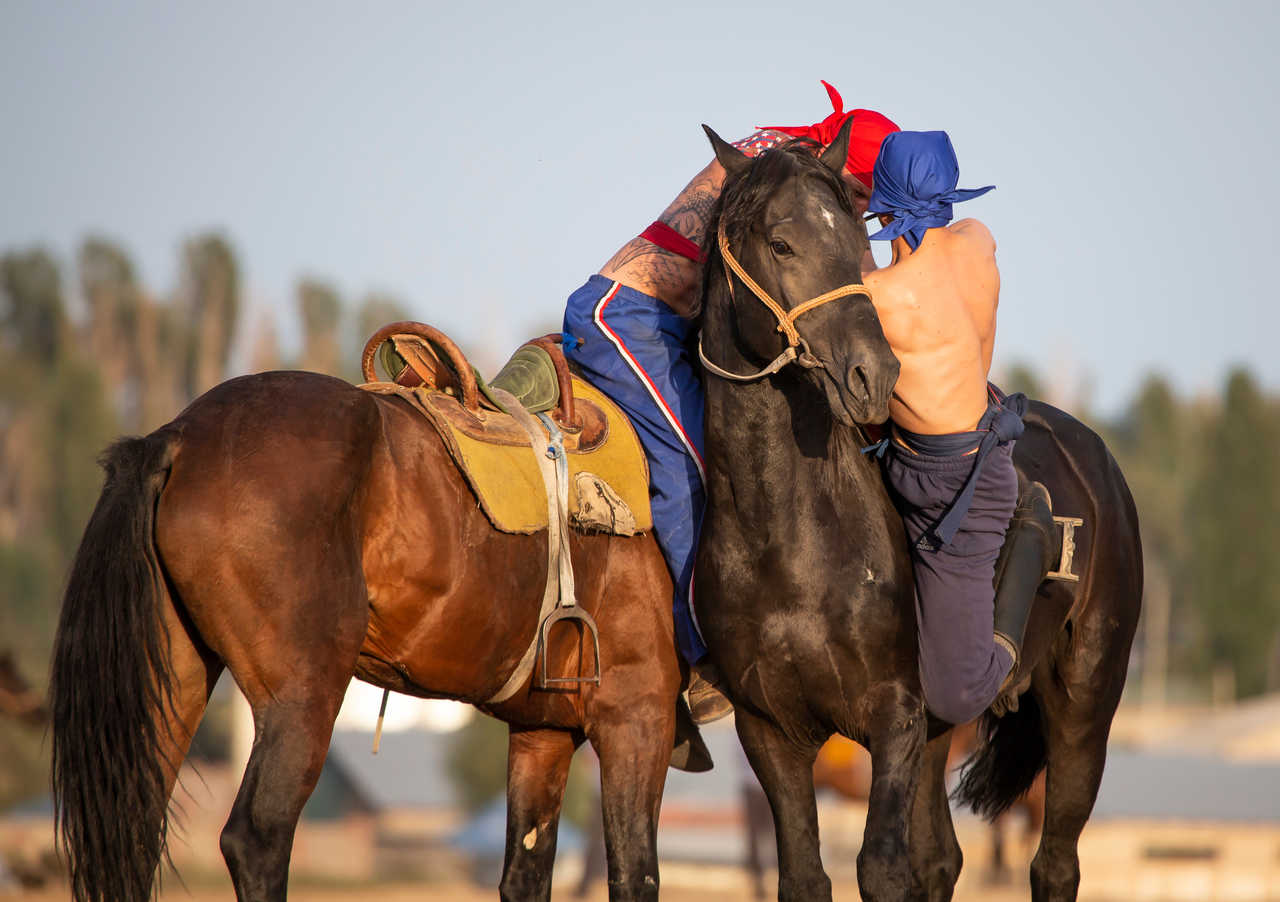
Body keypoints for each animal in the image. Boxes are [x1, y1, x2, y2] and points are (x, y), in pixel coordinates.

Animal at [49, 333, 696, 902]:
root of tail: (176, 438)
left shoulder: (544, 731)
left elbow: (526, 874)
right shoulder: (635, 715)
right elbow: (635, 874)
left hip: (175, 685)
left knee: (135, 832)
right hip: (302, 697)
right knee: (256, 837)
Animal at [693, 122, 1141, 902]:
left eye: (857, 242)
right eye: (780, 243)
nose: (871, 374)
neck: (787, 541)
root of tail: (1100, 466)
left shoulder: (895, 719)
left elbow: (882, 868)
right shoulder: (772, 732)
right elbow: (807, 875)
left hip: (1084, 707)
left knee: (1054, 862)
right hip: (944, 734)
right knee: (944, 859)